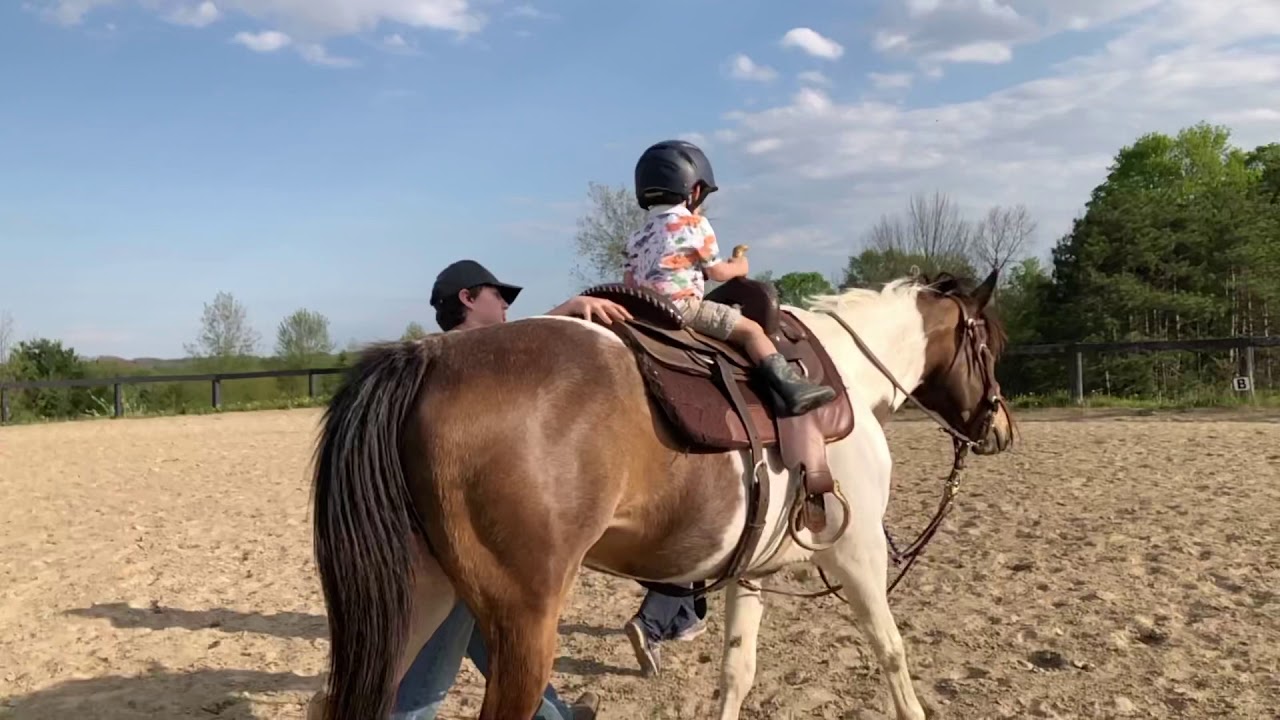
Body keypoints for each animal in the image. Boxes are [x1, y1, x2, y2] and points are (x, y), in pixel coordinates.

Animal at [308, 269, 1015, 720]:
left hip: (418, 602)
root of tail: (427, 356)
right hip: (521, 623)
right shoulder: (858, 551)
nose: (1001, 429)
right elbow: (893, 655)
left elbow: (737, 673)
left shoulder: (750, 571)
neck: (846, 372)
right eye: (991, 345)